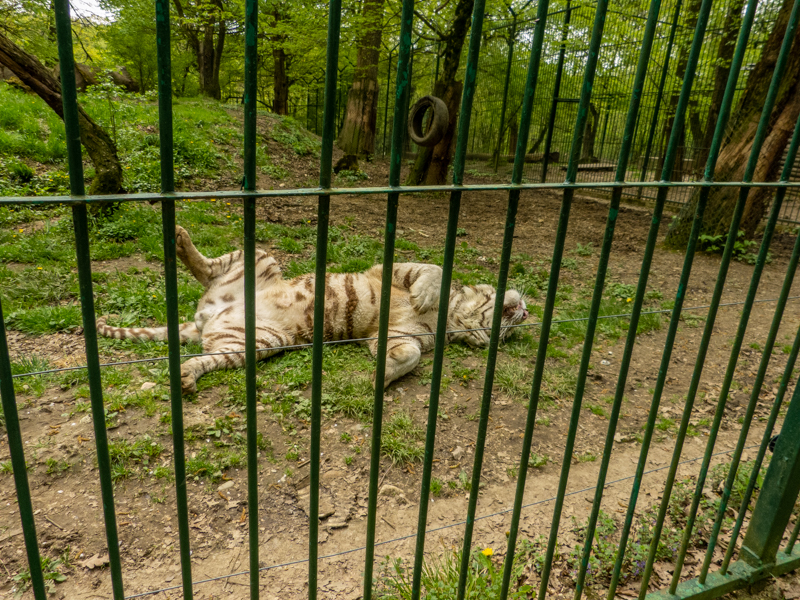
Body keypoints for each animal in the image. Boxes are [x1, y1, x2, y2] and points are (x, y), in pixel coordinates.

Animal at [96, 225, 529, 394]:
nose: (526, 313)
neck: (454, 317)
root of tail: (205, 316)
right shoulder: (392, 269)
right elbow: (433, 269)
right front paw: (425, 294)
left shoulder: (394, 337)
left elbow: (409, 355)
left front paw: (383, 375)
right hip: (259, 258)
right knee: (204, 266)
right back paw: (180, 238)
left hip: (252, 343)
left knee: (207, 357)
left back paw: (186, 376)